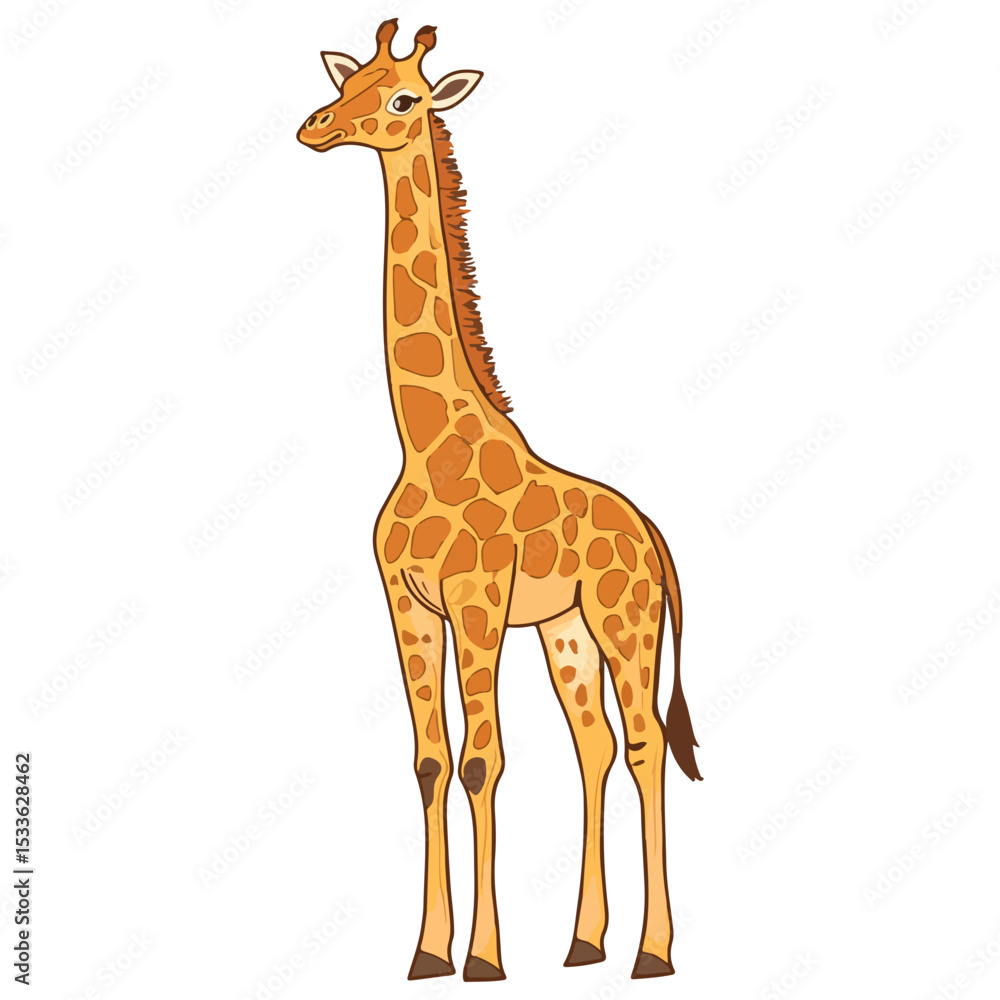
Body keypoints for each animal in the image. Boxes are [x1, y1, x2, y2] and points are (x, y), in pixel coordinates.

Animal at [298, 20, 702, 982]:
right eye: (349, 81)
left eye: (402, 97)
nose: (315, 126)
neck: (424, 444)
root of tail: (653, 535)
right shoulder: (408, 604)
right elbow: (431, 760)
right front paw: (426, 952)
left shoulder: (476, 600)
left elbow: (484, 760)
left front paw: (482, 957)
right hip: (566, 630)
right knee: (595, 745)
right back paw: (585, 944)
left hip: (625, 620)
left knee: (643, 744)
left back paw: (653, 953)